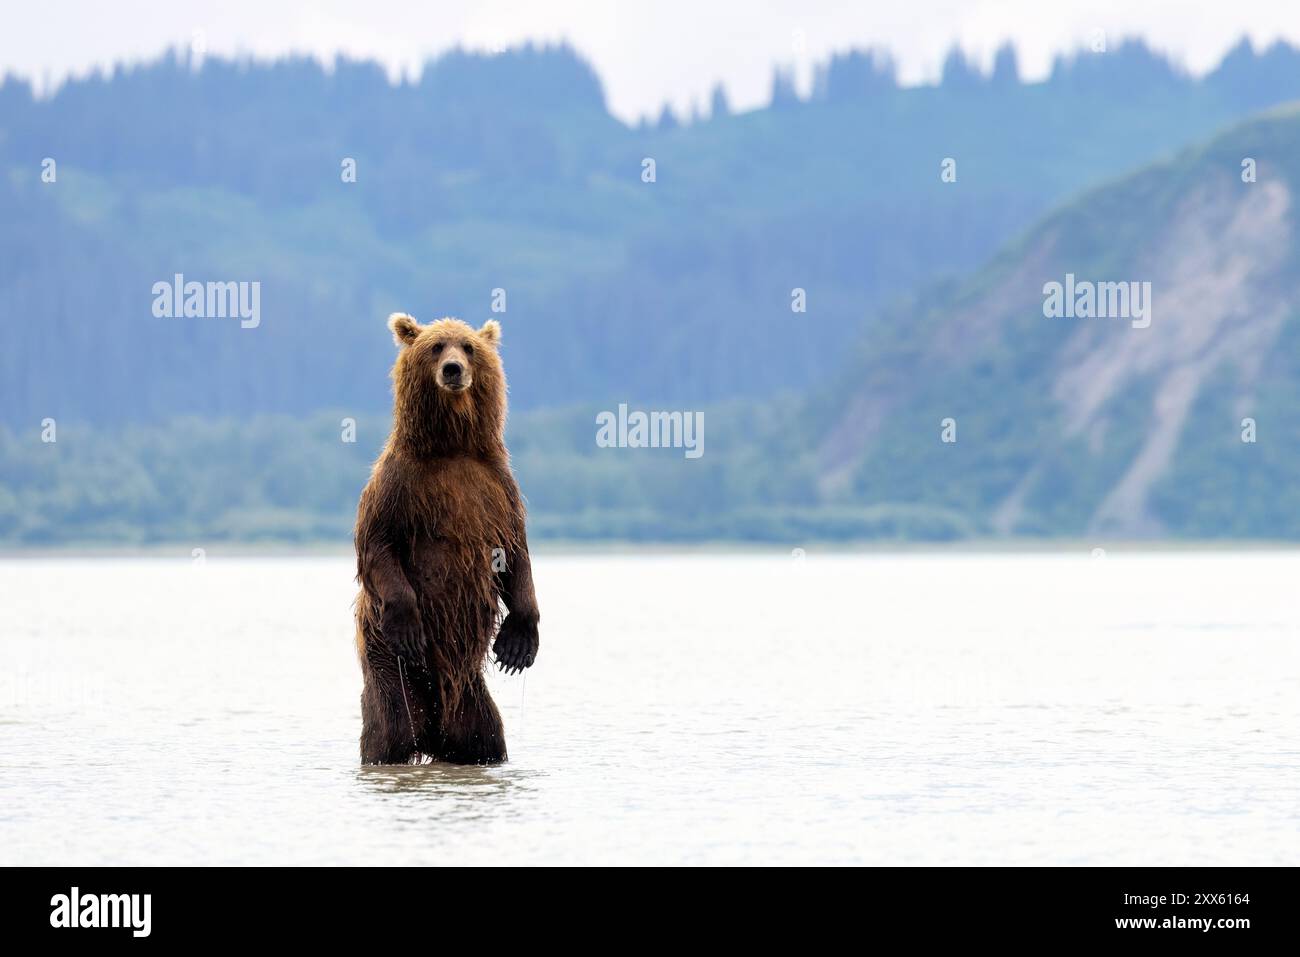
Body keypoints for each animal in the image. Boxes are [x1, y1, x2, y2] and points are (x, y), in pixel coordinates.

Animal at [353, 313, 540, 765]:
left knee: (483, 733)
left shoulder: (498, 489)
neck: (451, 446)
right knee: (390, 724)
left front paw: (517, 644)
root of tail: (433, 732)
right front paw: (409, 624)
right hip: (385, 657)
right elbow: (378, 544)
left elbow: (515, 555)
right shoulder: (397, 485)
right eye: (436, 346)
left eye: (468, 347)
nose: (453, 369)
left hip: (469, 690)